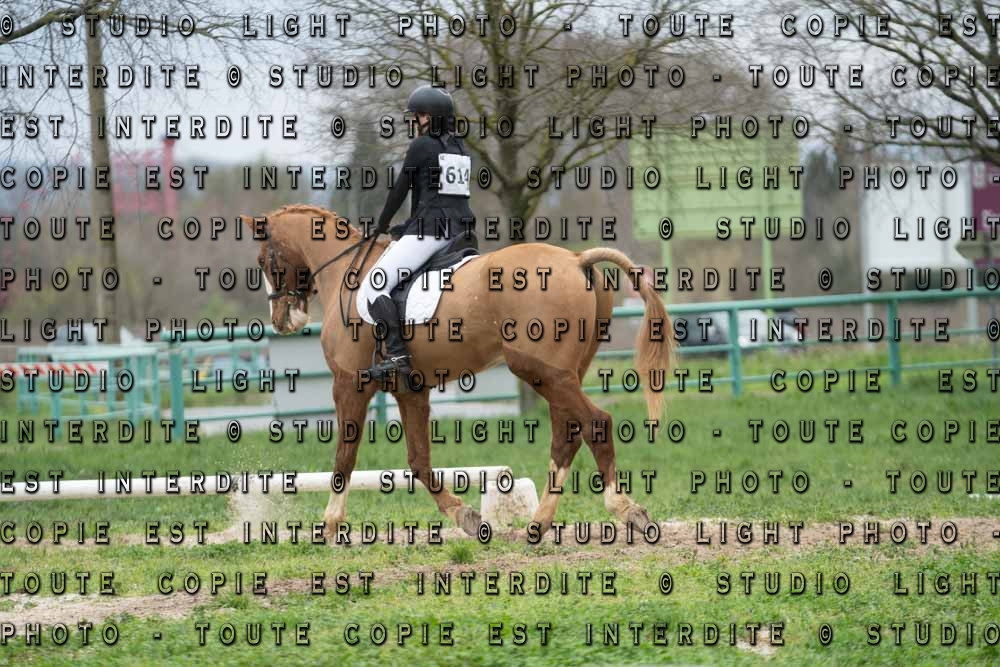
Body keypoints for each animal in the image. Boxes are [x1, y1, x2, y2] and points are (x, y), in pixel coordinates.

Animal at [241, 204, 675, 539]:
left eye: (264, 261)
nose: (283, 319)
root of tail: (575, 259)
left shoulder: (349, 385)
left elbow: (344, 457)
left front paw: (330, 524)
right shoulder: (410, 390)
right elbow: (418, 461)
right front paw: (466, 517)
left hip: (543, 371)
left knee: (595, 424)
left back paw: (626, 510)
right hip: (562, 374)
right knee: (567, 436)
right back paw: (538, 524)